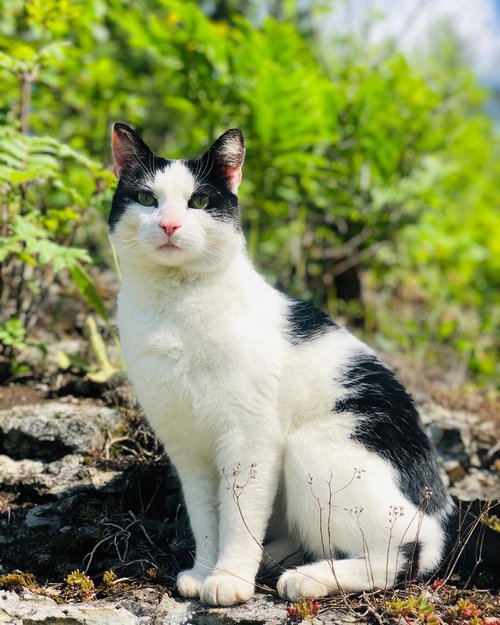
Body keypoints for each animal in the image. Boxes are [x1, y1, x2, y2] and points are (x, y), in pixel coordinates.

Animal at [109, 123, 494, 607]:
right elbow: (206, 516)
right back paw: (274, 558)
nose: (169, 224)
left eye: (198, 202)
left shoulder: (251, 438)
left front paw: (229, 578)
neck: (174, 307)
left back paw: (307, 578)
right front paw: (203, 570)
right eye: (147, 199)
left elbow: (239, 514)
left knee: (405, 555)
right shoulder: (187, 448)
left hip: (312, 447)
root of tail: (446, 510)